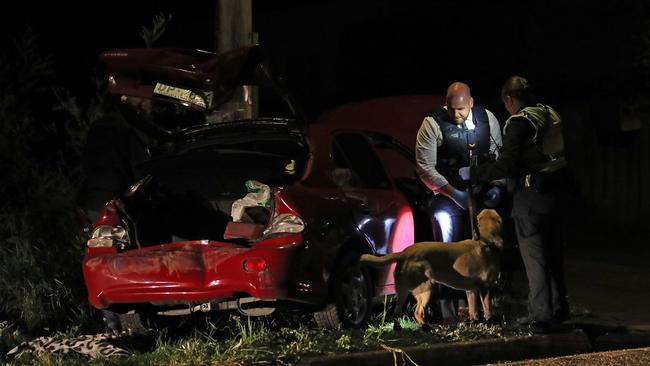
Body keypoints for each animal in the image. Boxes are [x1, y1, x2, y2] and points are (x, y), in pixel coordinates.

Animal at [360, 210, 502, 328]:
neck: (485, 241)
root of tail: (404, 252)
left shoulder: (471, 290)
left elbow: (473, 310)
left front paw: (475, 322)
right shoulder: (485, 287)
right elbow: (487, 308)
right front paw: (490, 321)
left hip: (404, 291)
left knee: (397, 312)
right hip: (427, 288)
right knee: (417, 312)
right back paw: (427, 327)